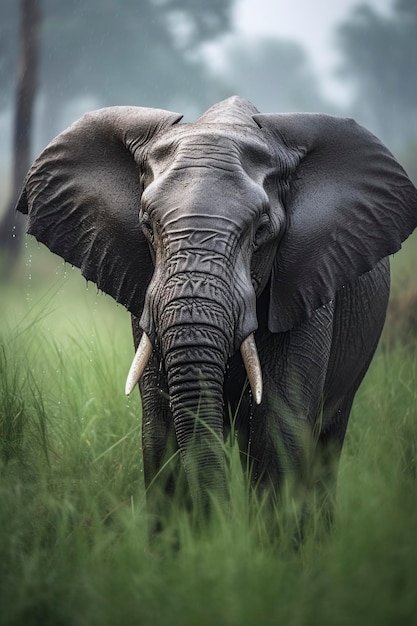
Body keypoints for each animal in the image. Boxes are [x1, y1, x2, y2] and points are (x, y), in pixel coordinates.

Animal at [17, 96, 416, 532]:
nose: (222, 527)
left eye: (261, 231)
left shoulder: (305, 287)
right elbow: (160, 430)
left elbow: (279, 428)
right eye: (147, 227)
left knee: (326, 443)